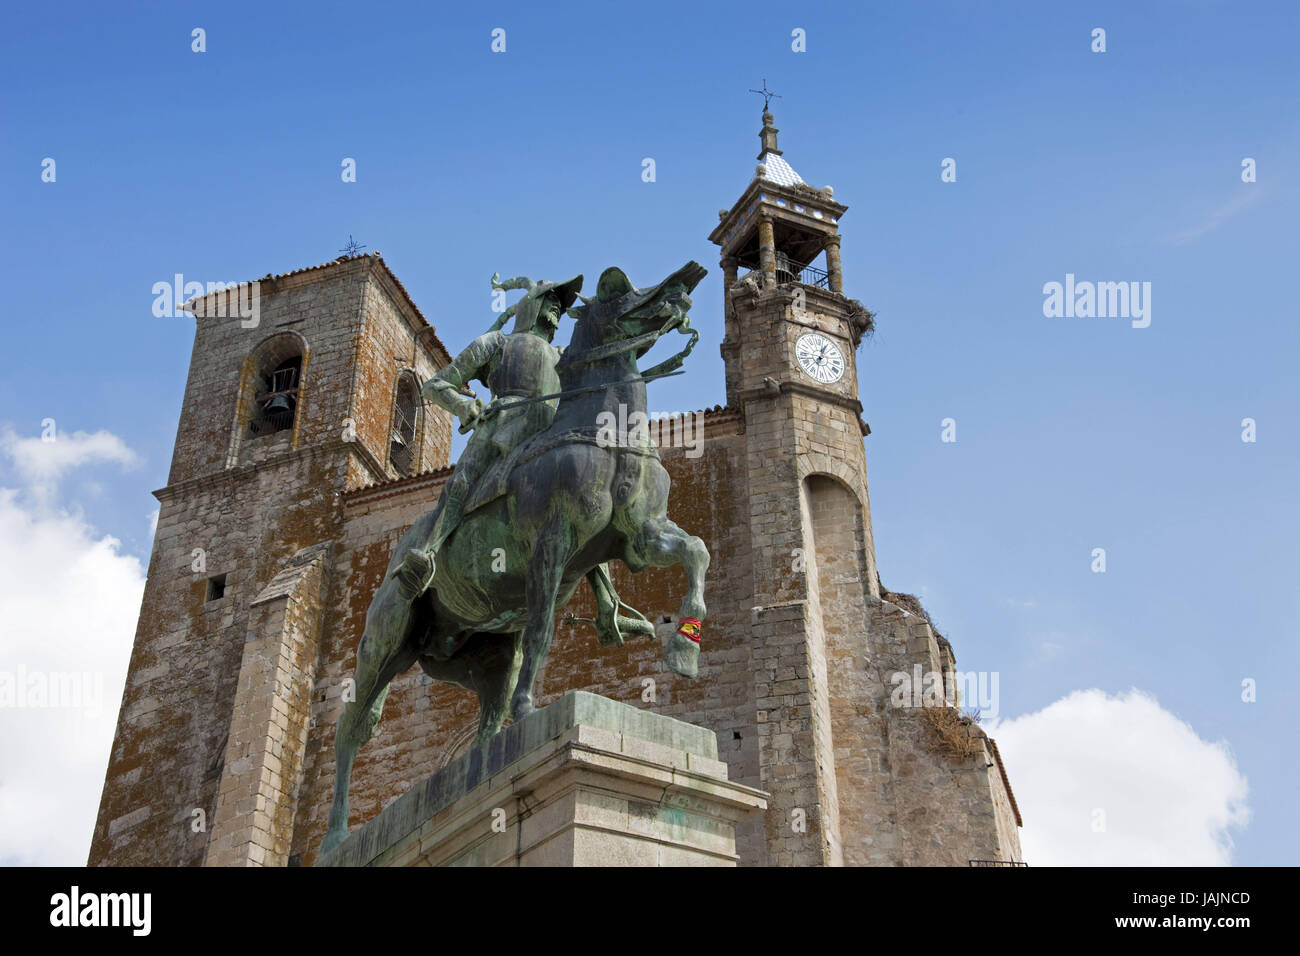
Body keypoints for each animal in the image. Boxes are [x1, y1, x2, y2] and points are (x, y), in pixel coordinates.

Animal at [325, 260, 712, 853]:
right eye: (616, 288)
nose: (683, 287)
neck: (606, 434)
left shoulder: (640, 539)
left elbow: (696, 554)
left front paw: (684, 649)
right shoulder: (552, 546)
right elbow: (543, 629)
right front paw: (535, 709)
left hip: (473, 656)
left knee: (488, 713)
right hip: (386, 639)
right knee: (350, 729)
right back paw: (338, 837)